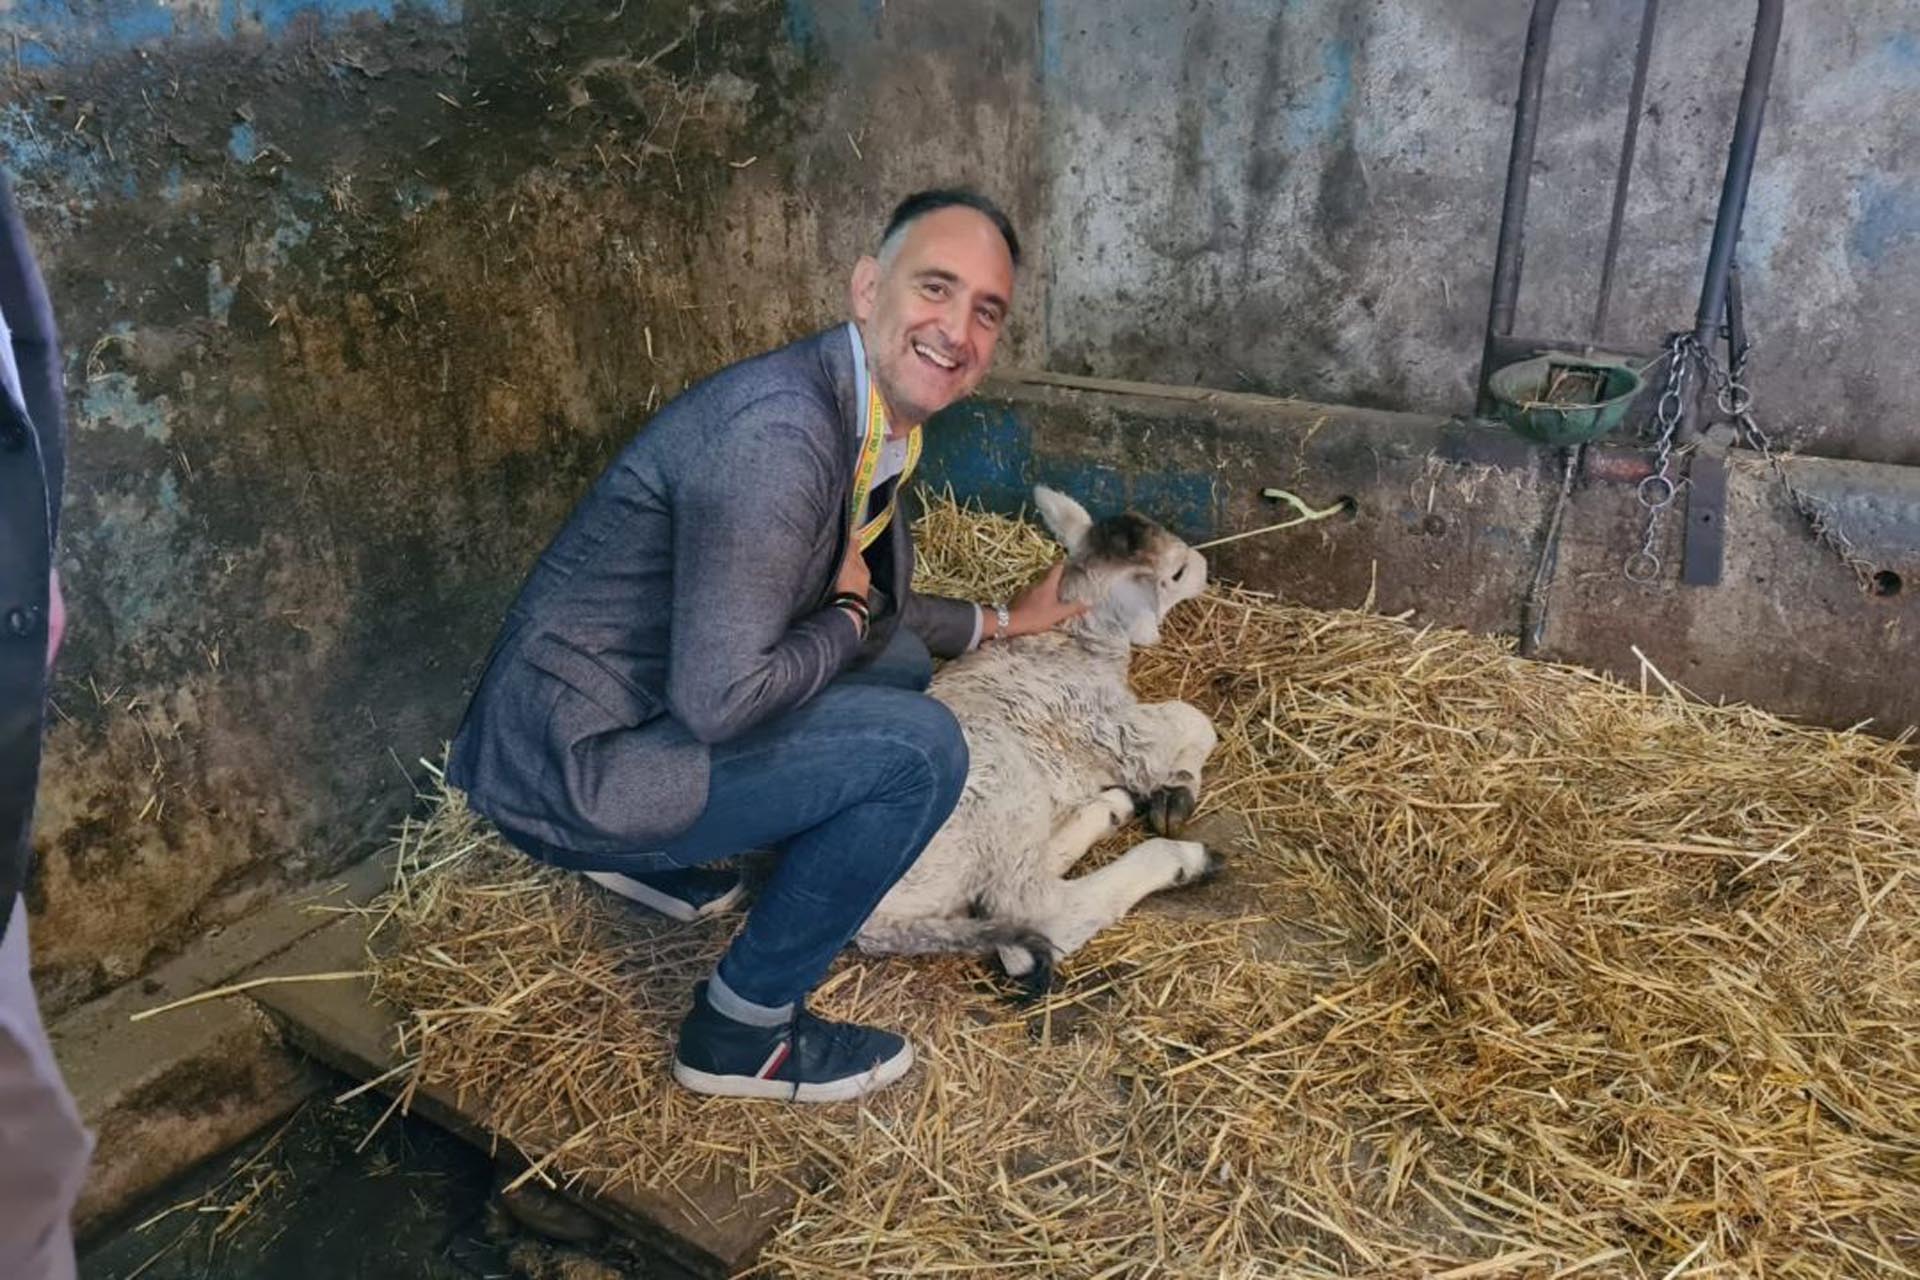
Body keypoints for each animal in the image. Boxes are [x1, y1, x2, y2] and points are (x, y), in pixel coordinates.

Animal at [864, 485, 1221, 997]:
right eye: (1174, 573)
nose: (1206, 566)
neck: (1076, 639)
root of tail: (871, 922)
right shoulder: (1113, 726)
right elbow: (1193, 721)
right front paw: (1178, 789)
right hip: (1001, 794)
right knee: (1036, 916)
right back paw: (1182, 860)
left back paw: (1107, 811)